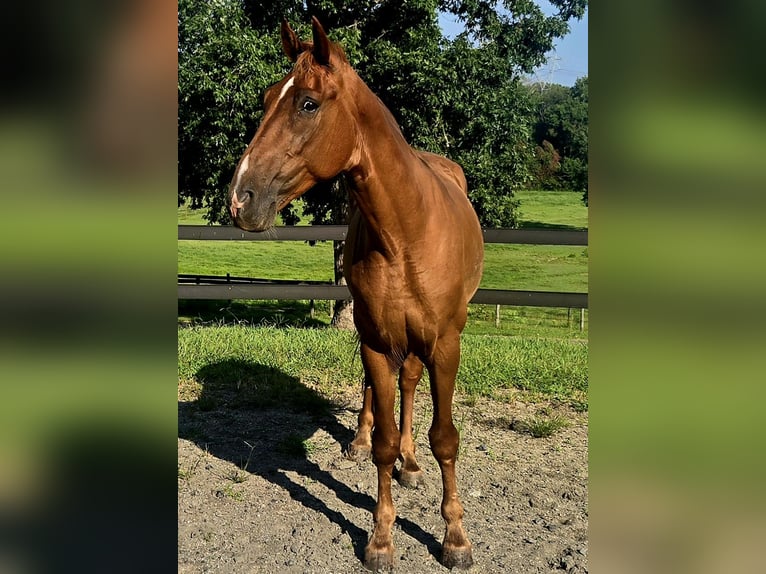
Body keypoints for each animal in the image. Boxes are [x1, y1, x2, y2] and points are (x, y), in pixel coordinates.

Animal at [228, 17, 484, 571]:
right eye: (266, 97)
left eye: (307, 103)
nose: (241, 198)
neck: (407, 229)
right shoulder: (375, 340)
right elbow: (384, 442)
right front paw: (382, 537)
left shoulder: (446, 345)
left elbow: (445, 439)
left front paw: (455, 537)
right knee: (386, 393)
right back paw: (363, 442)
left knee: (411, 386)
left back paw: (413, 464)